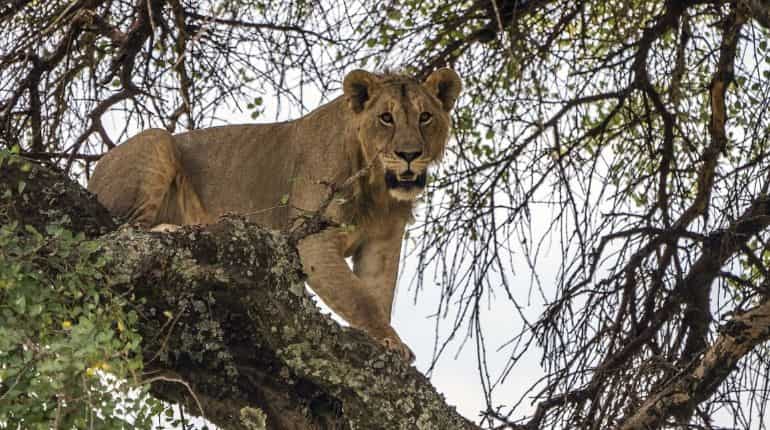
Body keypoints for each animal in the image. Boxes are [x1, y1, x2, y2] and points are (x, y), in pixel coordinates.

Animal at [88, 68, 462, 361]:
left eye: (425, 117)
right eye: (386, 118)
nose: (409, 154)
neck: (378, 190)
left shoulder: (381, 244)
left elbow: (377, 295)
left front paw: (388, 341)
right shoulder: (313, 241)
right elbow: (360, 299)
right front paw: (390, 343)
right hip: (156, 141)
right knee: (124, 230)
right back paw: (170, 229)